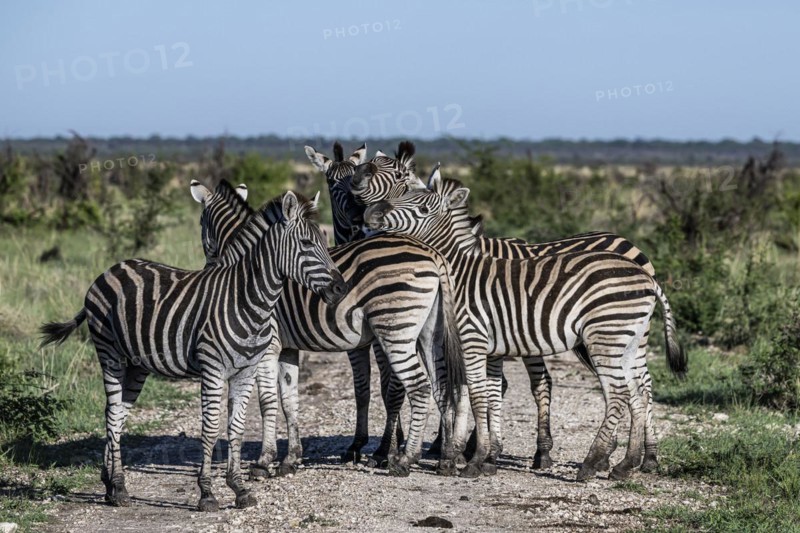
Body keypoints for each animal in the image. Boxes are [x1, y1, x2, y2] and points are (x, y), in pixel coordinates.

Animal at [39, 191, 346, 511]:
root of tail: (110, 269)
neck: (246, 299)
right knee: (112, 415)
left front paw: (239, 489)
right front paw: (207, 493)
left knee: (117, 414)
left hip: (136, 364)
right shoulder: (212, 368)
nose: (341, 288)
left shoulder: (246, 369)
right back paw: (120, 488)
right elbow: (210, 429)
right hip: (108, 351)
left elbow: (236, 428)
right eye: (307, 244)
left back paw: (110, 484)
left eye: (325, 241)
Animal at [191, 178, 467, 478]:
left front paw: (264, 461)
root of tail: (432, 253)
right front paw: (291, 459)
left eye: (201, 223)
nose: (206, 269)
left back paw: (405, 459)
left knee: (418, 387)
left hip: (396, 331)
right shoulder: (288, 347)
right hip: (429, 334)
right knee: (441, 385)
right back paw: (446, 458)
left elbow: (267, 401)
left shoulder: (268, 345)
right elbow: (289, 400)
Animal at [349, 152, 664, 472]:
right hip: (628, 336)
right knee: (639, 386)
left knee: (625, 388)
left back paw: (605, 459)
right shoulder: (490, 346)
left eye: (418, 203)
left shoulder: (472, 339)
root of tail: (632, 248)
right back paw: (633, 459)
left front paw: (460, 453)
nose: (370, 216)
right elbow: (481, 391)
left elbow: (468, 391)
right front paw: (479, 452)